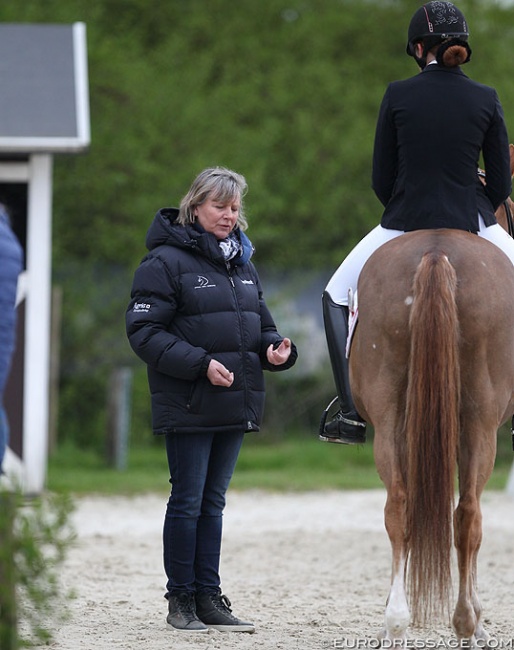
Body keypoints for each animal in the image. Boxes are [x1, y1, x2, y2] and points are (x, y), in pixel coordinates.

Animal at [350, 147, 514, 636]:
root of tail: (437, 251)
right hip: (480, 423)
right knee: (469, 514)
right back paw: (467, 623)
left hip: (391, 417)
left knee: (400, 506)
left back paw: (396, 622)